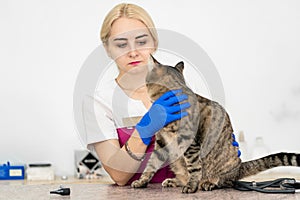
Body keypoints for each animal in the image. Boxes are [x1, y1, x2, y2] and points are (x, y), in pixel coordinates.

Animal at [131, 57, 300, 193]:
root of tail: (239, 167)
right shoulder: (161, 142)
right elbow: (151, 165)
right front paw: (141, 181)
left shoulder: (190, 142)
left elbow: (194, 167)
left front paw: (192, 186)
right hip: (176, 161)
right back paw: (174, 181)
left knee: (227, 181)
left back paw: (208, 183)